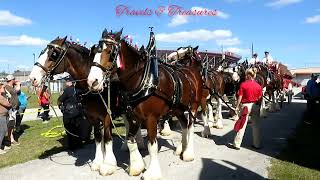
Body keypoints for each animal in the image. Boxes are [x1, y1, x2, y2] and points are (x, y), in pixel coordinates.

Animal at [28, 37, 126, 176]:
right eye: (42, 51)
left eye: (53, 54)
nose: (33, 78)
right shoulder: (93, 117)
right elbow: (98, 137)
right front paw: (97, 162)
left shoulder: (107, 116)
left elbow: (107, 138)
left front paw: (108, 165)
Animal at [87, 28, 202, 179]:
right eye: (95, 51)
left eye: (110, 52)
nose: (92, 82)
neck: (143, 79)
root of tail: (192, 72)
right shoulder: (133, 116)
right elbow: (130, 140)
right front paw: (137, 166)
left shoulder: (151, 118)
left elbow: (152, 145)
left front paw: (152, 172)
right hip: (177, 109)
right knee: (184, 125)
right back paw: (181, 149)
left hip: (193, 106)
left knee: (190, 127)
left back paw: (188, 153)